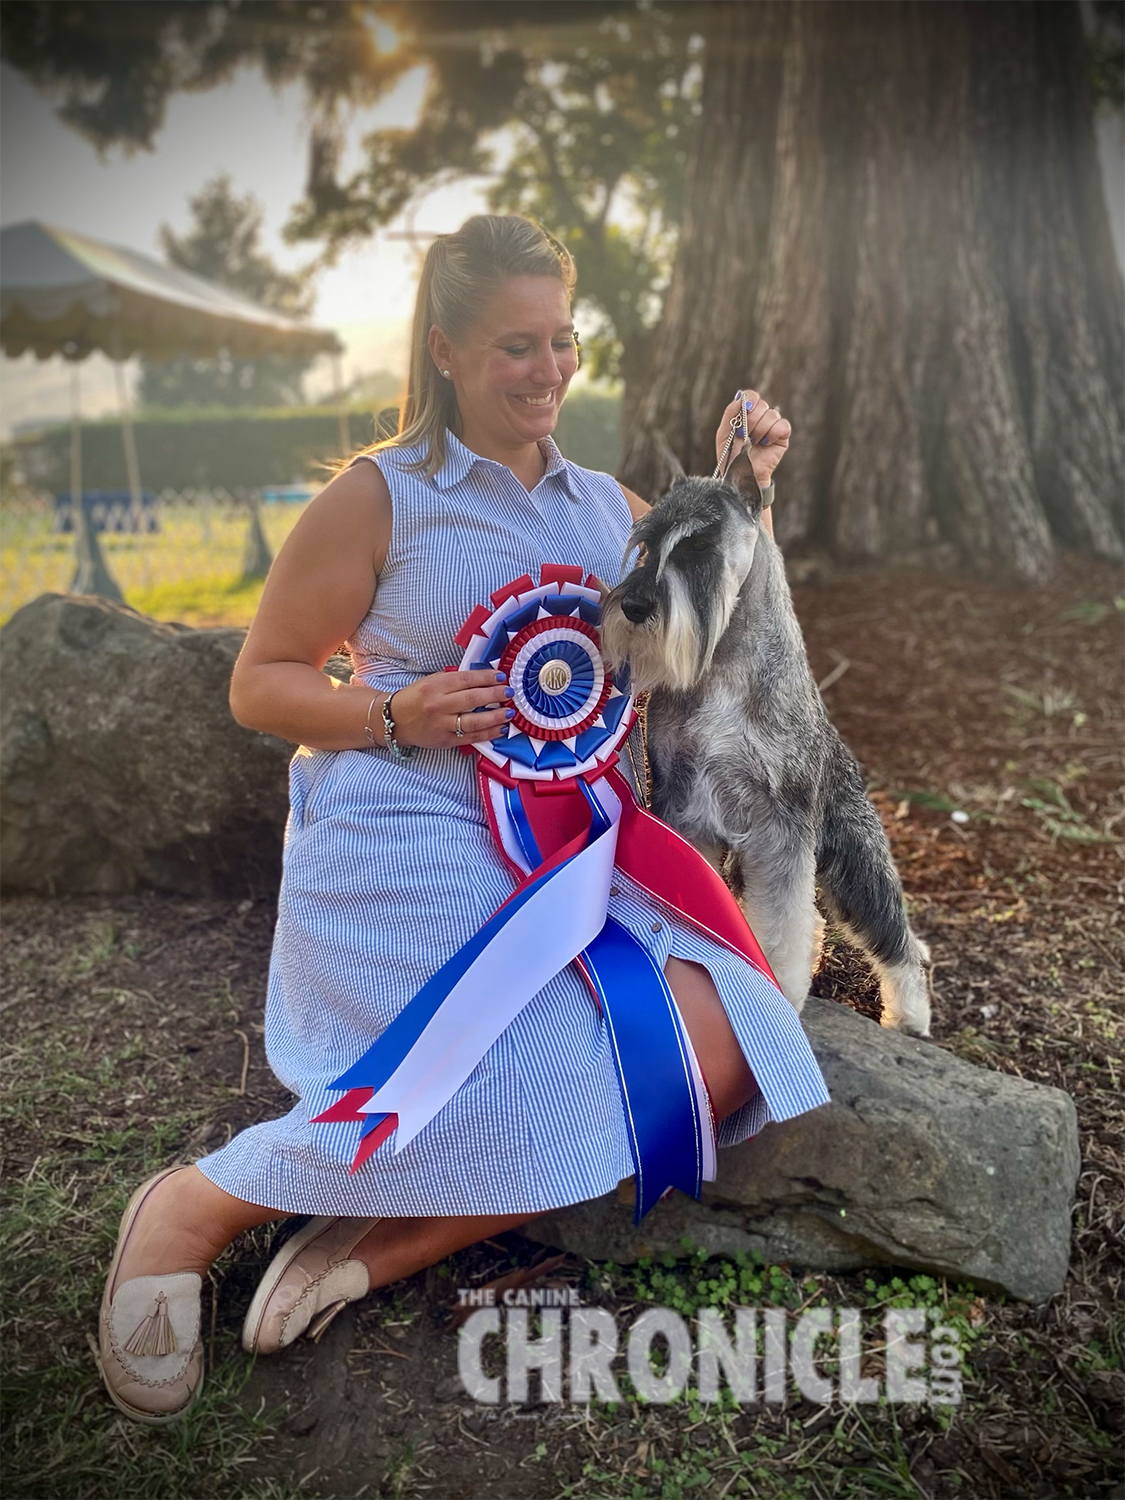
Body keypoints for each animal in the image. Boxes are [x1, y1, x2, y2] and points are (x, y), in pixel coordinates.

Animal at [601, 450, 932, 1036]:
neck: (725, 665)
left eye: (699, 544)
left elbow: (781, 926)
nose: (635, 607)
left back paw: (911, 1017)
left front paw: (780, 987)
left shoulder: (780, 828)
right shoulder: (685, 808)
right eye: (646, 543)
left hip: (854, 858)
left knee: (896, 938)